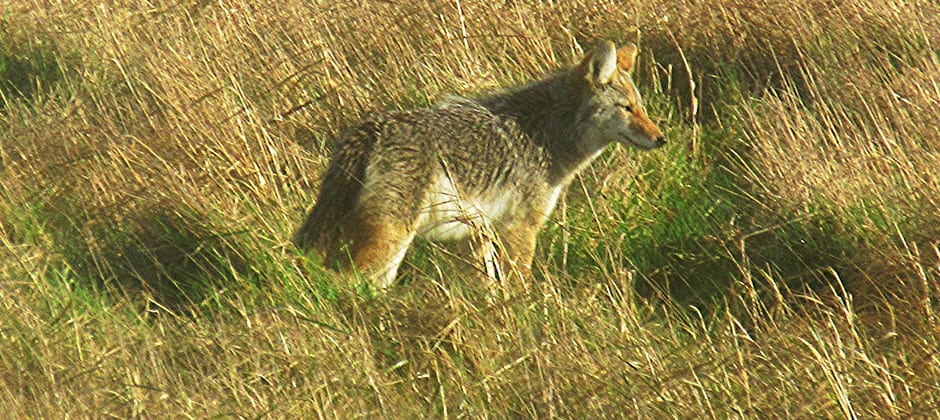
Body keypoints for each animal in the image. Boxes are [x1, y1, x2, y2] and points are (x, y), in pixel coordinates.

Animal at [293, 40, 666, 290]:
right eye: (626, 109)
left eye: (641, 107)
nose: (660, 139)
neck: (548, 132)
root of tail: (372, 129)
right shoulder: (520, 229)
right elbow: (518, 285)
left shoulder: (478, 232)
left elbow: (489, 288)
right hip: (391, 238)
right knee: (349, 280)